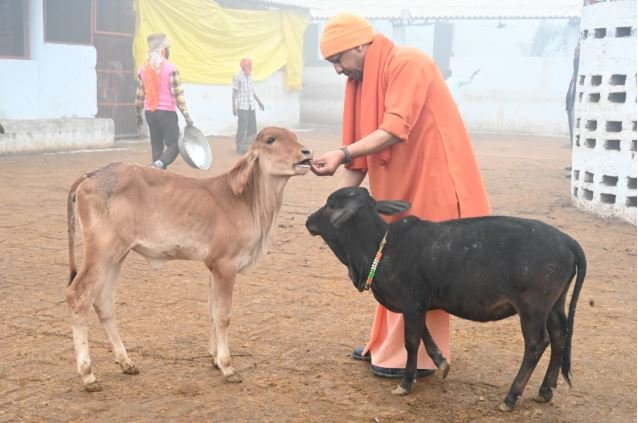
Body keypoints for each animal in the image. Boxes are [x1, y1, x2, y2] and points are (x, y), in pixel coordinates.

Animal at [66, 127, 314, 392]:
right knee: (79, 296)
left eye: (295, 137)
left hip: (118, 255)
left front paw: (214, 359)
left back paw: (126, 362)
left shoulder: (213, 267)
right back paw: (88, 375)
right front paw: (227, 367)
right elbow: (223, 315)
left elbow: (212, 311)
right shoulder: (225, 265)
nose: (306, 152)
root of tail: (91, 174)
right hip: (101, 251)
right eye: (271, 140)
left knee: (103, 302)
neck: (248, 202)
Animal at [308, 187, 588, 412]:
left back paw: (511, 397)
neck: (380, 247)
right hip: (555, 303)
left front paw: (406, 382)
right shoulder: (418, 304)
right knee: (559, 336)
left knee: (536, 344)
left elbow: (411, 340)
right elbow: (424, 334)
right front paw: (441, 362)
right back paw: (545, 390)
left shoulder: (411, 301)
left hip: (533, 306)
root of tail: (567, 241)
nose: (309, 220)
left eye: (331, 204)